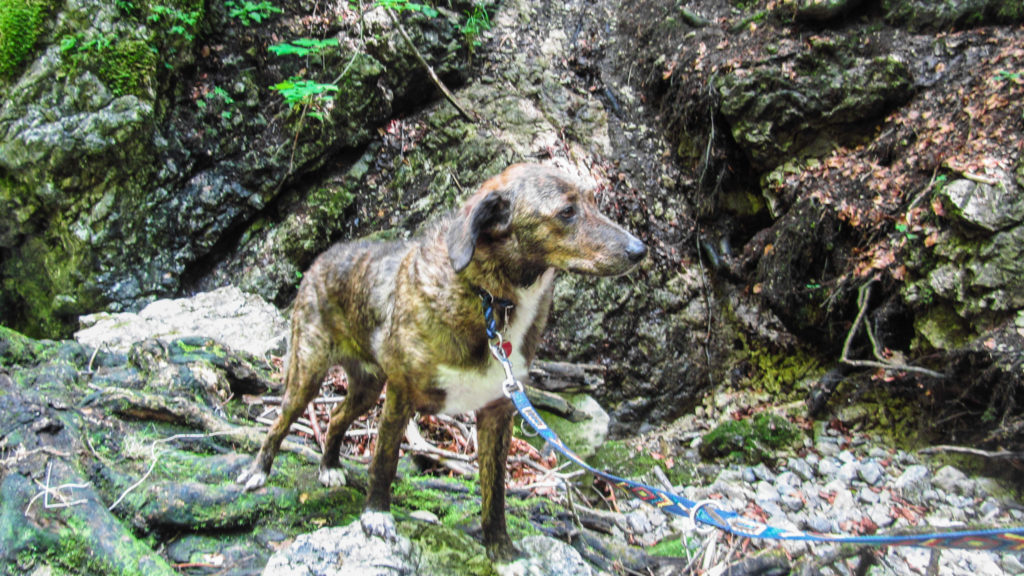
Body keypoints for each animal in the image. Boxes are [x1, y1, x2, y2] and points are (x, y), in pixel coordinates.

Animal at [235, 163, 643, 557]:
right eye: (567, 212)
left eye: (594, 201)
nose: (640, 250)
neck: (491, 297)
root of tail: (322, 258)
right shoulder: (400, 395)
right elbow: (384, 461)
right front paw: (376, 516)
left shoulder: (497, 413)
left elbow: (495, 492)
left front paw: (501, 549)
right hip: (308, 372)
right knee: (282, 421)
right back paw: (258, 471)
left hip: (368, 387)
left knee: (336, 415)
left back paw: (331, 466)